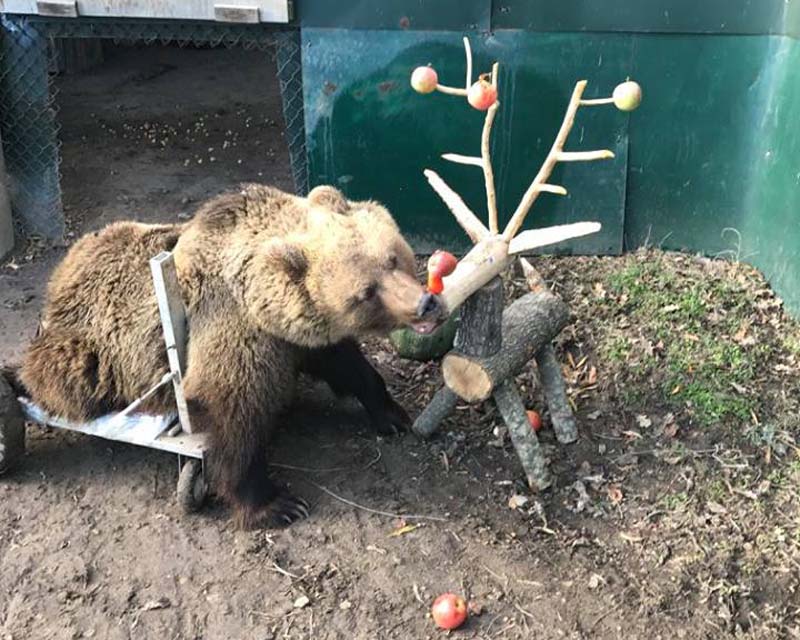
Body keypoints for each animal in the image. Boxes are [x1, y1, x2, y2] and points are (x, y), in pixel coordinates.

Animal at [9, 182, 440, 528]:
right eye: (366, 291)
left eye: (393, 258)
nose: (424, 303)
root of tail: (61, 273)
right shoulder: (232, 329)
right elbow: (235, 417)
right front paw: (276, 504)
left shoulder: (292, 338)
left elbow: (347, 365)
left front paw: (392, 415)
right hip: (90, 352)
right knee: (56, 380)